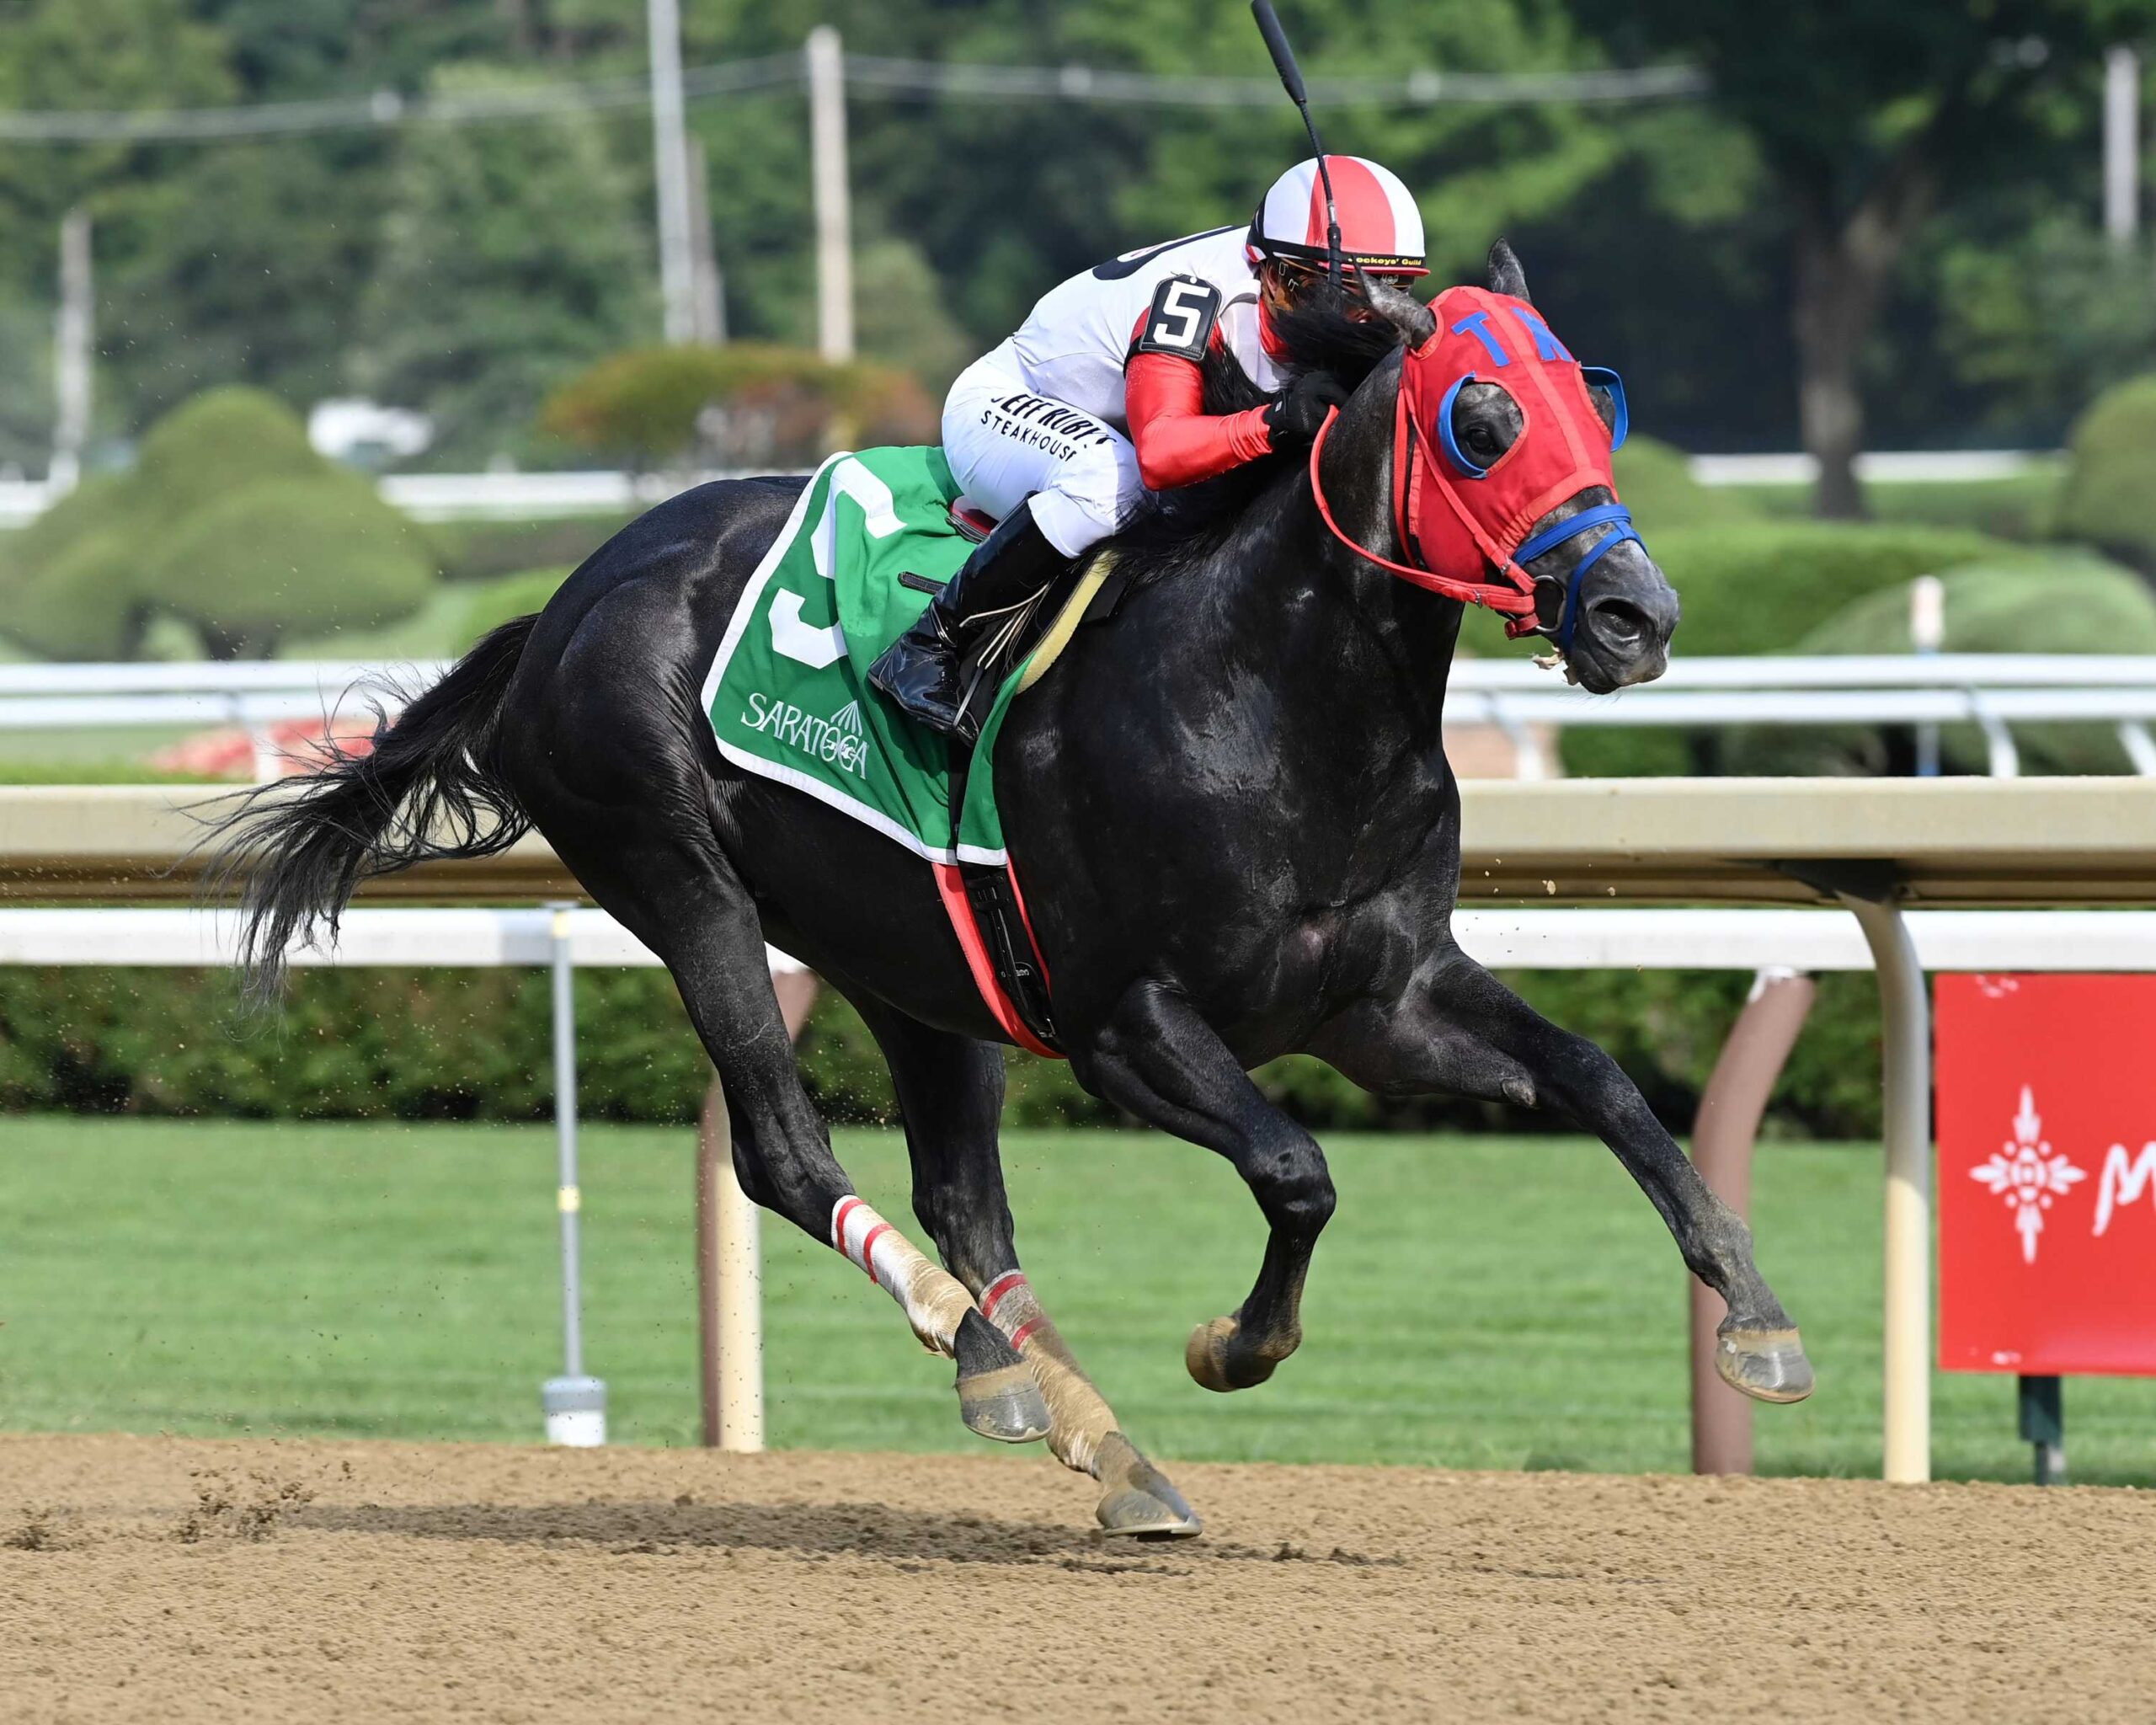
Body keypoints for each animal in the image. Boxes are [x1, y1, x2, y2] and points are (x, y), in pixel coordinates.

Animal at [207, 243, 1811, 1539]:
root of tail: (564, 599)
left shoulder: (1381, 1001)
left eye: (1593, 403)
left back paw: (1104, 1446)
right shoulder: (1126, 1023)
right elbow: (1300, 1170)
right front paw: (1235, 1345)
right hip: (678, 876)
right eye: (1483, 420)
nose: (1638, 615)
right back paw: (985, 1355)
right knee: (784, 1151)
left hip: (910, 958)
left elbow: (1599, 1077)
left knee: (966, 1204)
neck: (1273, 691)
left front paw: (1758, 1317)